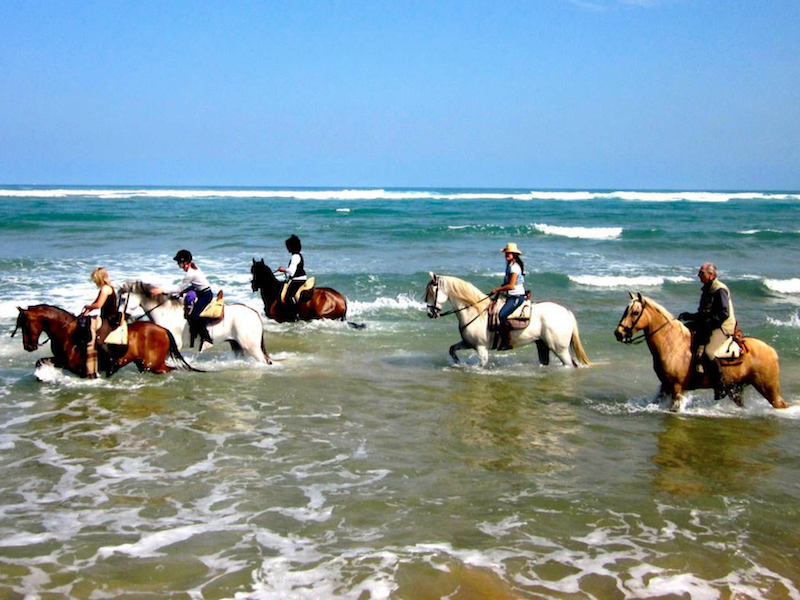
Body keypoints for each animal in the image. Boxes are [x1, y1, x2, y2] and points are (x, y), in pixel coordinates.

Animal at [12, 302, 198, 378]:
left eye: (25, 325)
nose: (28, 346)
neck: (67, 332)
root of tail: (162, 329)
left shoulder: (71, 364)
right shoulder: (60, 360)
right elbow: (40, 362)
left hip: (154, 365)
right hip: (145, 364)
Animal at [422, 274, 592, 368]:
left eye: (432, 291)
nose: (430, 313)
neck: (476, 312)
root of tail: (566, 313)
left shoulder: (481, 348)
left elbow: (481, 365)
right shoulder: (468, 343)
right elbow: (452, 349)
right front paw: (457, 362)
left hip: (560, 349)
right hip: (542, 345)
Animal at [612, 292, 788, 412]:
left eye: (635, 312)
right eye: (626, 310)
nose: (618, 333)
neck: (673, 344)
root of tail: (771, 351)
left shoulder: (677, 388)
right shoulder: (665, 386)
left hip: (768, 387)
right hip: (736, 390)